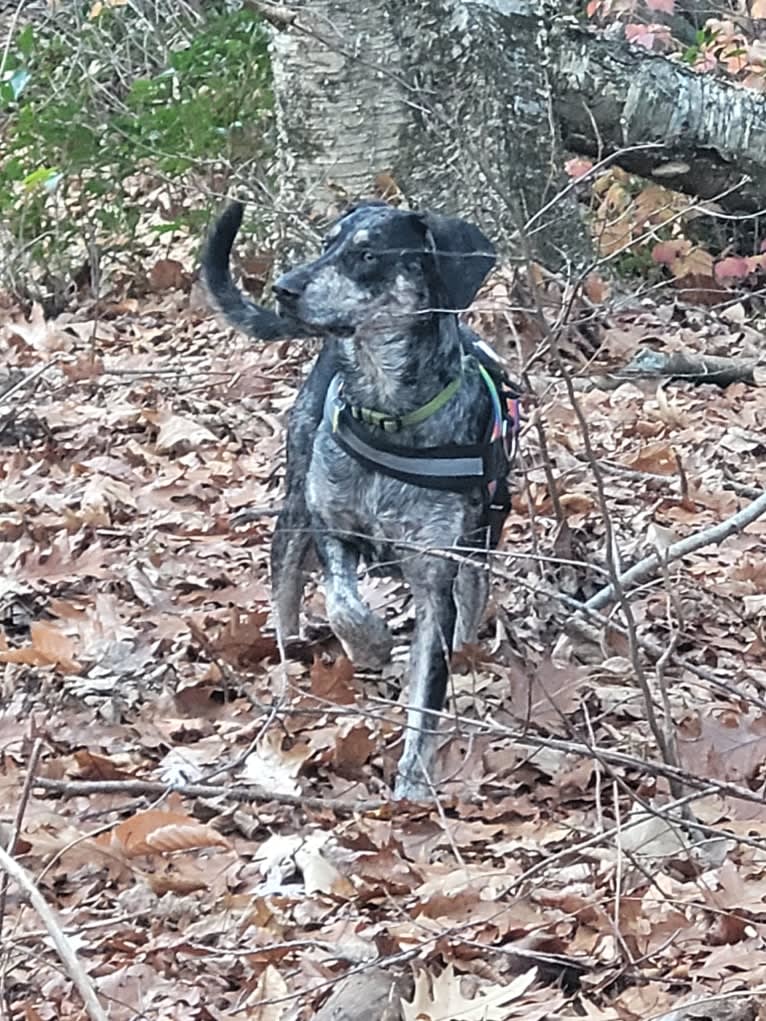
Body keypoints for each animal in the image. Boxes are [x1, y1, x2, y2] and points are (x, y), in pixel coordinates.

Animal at [201, 203, 518, 800]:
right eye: (327, 243)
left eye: (368, 253)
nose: (284, 287)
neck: (389, 416)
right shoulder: (332, 525)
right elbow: (342, 602)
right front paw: (370, 644)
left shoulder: (435, 576)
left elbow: (427, 691)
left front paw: (414, 782)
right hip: (292, 509)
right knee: (286, 589)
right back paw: (289, 666)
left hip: (484, 536)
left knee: (473, 596)